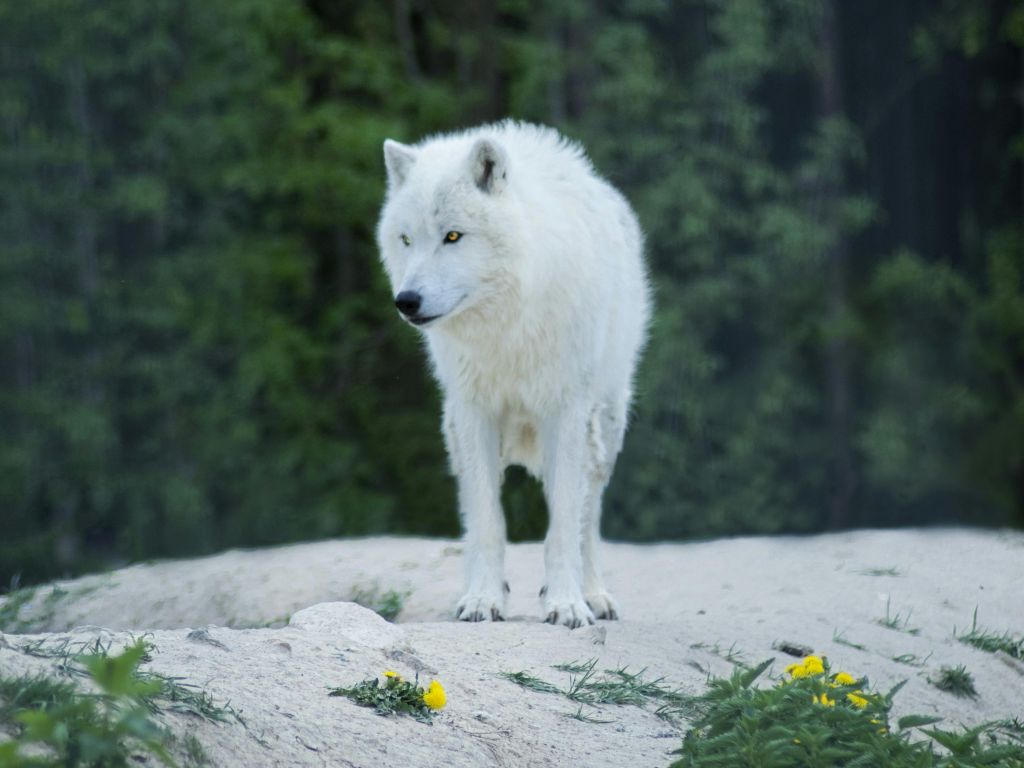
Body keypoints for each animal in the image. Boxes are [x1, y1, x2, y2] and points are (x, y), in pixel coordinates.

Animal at [376, 121, 650, 628]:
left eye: (452, 236)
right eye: (406, 240)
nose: (406, 301)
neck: (504, 324)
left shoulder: (566, 410)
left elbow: (563, 524)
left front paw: (566, 604)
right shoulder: (474, 412)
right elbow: (487, 521)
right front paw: (484, 600)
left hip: (604, 426)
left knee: (589, 516)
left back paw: (595, 595)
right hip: (455, 434)